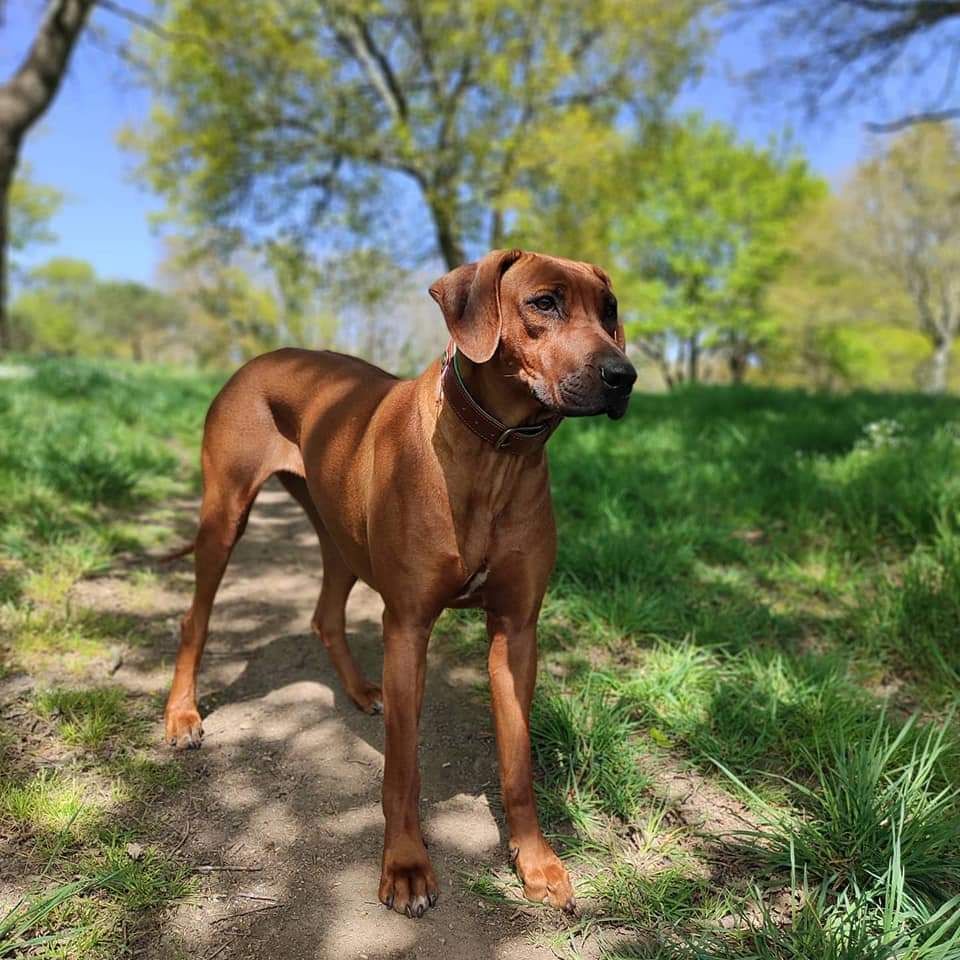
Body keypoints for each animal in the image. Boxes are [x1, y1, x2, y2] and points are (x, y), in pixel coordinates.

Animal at [163, 248, 636, 916]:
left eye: (610, 310)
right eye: (545, 302)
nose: (625, 376)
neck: (493, 453)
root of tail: (256, 360)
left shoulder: (516, 631)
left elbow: (517, 765)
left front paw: (536, 862)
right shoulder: (408, 626)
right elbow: (403, 768)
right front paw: (408, 867)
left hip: (338, 534)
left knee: (324, 614)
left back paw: (362, 690)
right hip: (225, 514)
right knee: (195, 616)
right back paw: (182, 716)